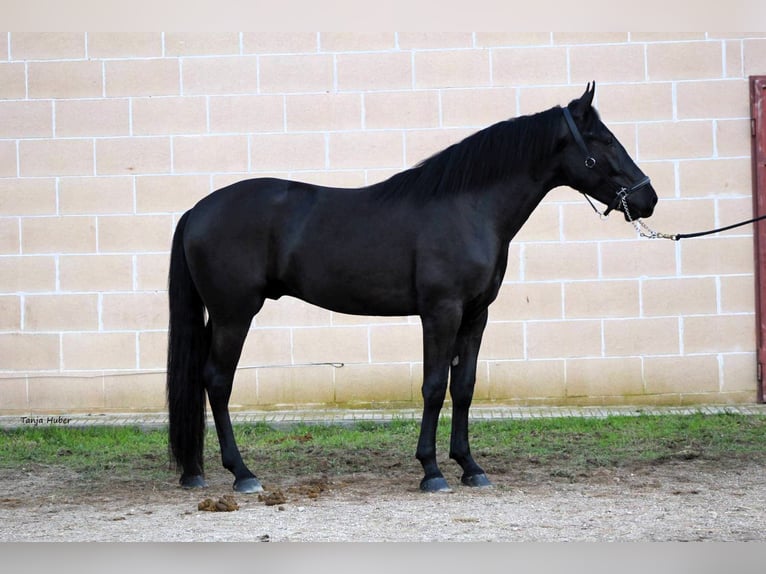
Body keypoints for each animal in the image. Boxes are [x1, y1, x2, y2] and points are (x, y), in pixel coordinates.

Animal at [168, 83, 660, 492]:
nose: (648, 198)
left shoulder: (476, 315)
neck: (467, 208)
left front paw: (470, 467)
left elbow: (464, 387)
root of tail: (197, 210)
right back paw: (242, 474)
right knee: (218, 381)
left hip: (219, 317)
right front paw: (432, 471)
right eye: (604, 141)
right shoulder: (441, 312)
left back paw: (195, 473)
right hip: (234, 314)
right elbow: (434, 385)